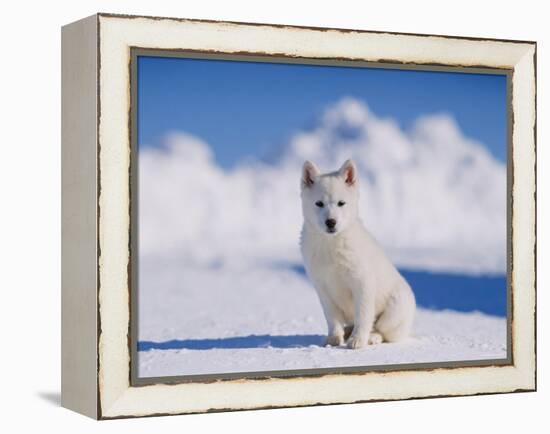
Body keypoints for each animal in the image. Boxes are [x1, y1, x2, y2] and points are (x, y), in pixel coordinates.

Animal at [302, 159, 414, 350]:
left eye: (341, 203)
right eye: (319, 203)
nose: (331, 222)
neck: (332, 244)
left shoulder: (362, 283)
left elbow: (363, 315)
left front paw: (357, 340)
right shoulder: (322, 288)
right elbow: (332, 318)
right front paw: (334, 338)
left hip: (394, 310)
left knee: (382, 330)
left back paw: (371, 337)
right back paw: (347, 332)